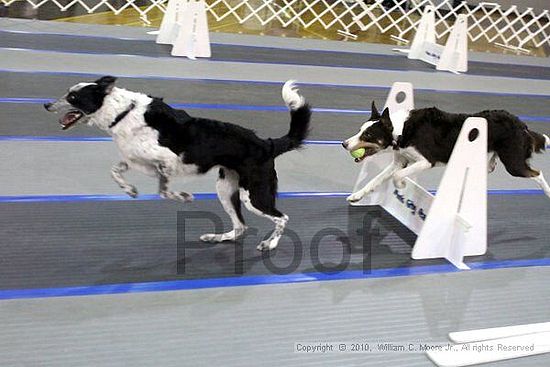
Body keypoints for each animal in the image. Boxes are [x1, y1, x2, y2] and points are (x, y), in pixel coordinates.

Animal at [45, 76, 312, 252]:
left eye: (72, 97)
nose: (46, 105)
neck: (122, 113)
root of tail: (266, 144)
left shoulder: (166, 160)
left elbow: (164, 190)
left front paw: (182, 196)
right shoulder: (136, 160)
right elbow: (116, 171)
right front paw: (129, 189)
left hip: (253, 196)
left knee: (282, 218)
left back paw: (271, 243)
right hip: (226, 190)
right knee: (240, 226)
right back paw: (217, 238)